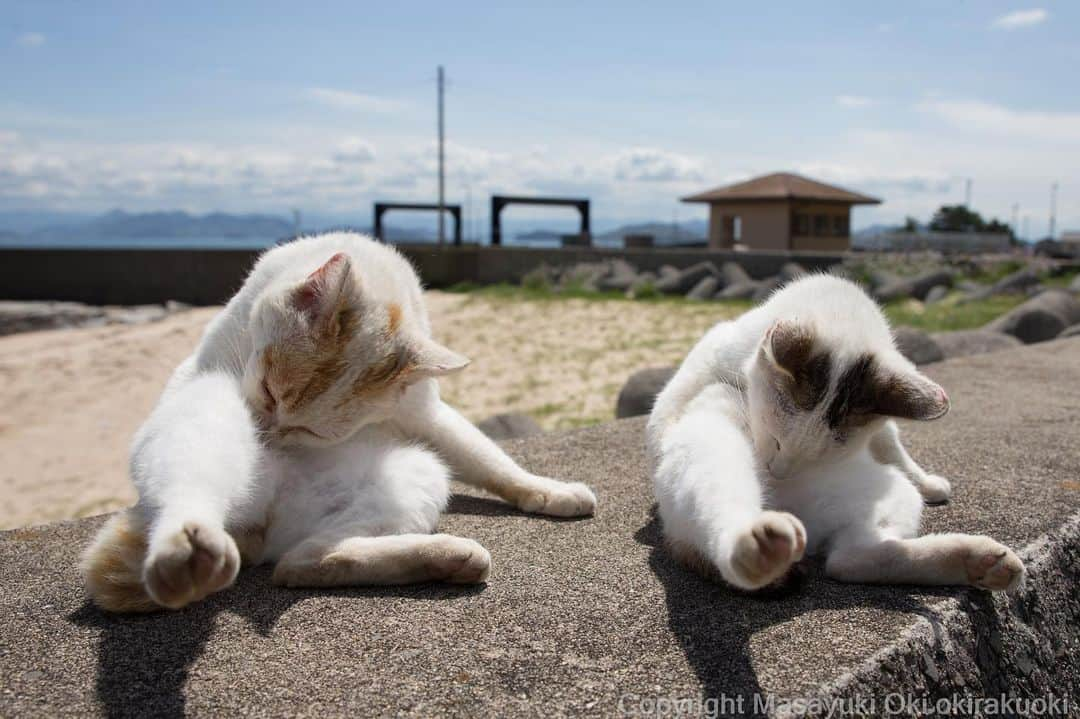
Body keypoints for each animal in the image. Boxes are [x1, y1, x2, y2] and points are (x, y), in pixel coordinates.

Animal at [79, 231, 596, 608]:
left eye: (311, 431)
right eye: (267, 393)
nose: (266, 438)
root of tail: (253, 521)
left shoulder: (425, 414)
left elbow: (489, 460)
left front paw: (547, 490)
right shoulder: (204, 372)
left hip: (414, 471)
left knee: (302, 560)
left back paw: (449, 558)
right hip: (205, 415)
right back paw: (189, 547)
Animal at [643, 272, 1023, 591]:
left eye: (820, 457)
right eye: (775, 439)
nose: (776, 472)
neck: (844, 310)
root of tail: (785, 507)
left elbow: (890, 443)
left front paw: (925, 479)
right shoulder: (717, 349)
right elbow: (675, 397)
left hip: (890, 495)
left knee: (848, 559)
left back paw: (979, 562)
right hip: (712, 439)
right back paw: (757, 547)